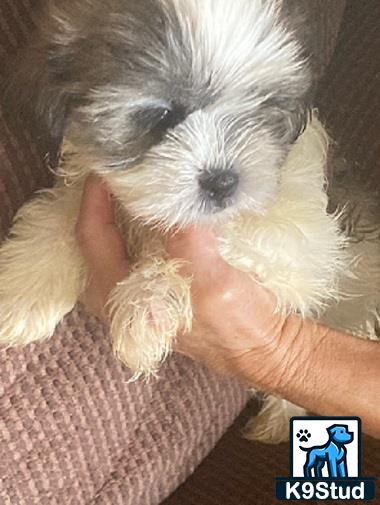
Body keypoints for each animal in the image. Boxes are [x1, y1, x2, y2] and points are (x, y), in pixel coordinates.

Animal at [0, 0, 380, 440]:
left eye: (258, 112)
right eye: (163, 116)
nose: (223, 181)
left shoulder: (302, 246)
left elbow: (228, 244)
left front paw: (147, 302)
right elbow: (59, 209)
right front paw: (26, 294)